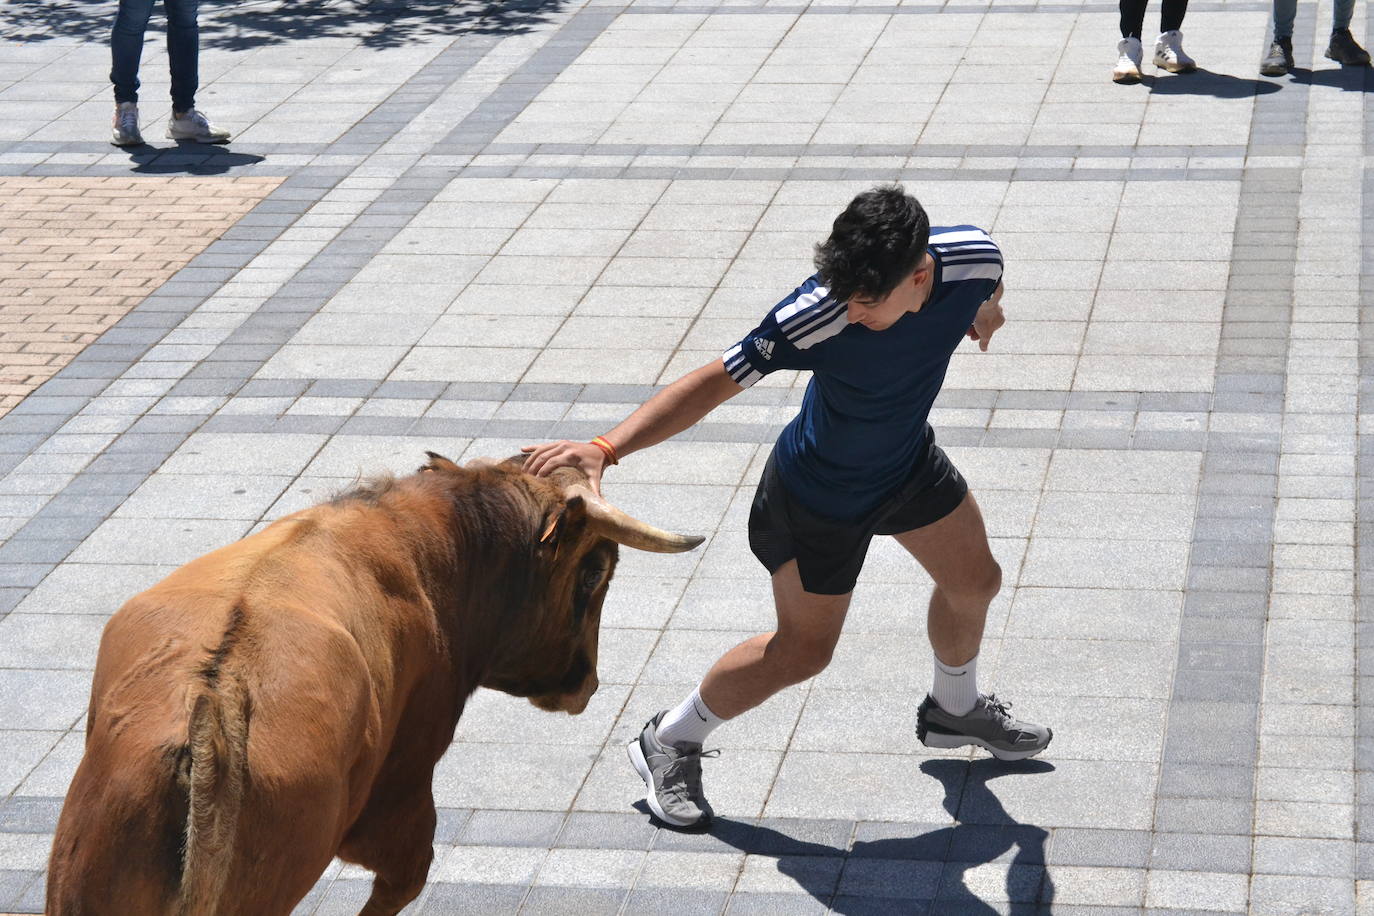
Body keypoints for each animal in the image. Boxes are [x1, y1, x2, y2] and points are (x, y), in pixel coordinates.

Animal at [48, 453, 703, 916]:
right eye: (594, 573)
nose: (585, 682)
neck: (428, 545)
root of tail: (212, 704)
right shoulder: (404, 786)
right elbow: (403, 881)